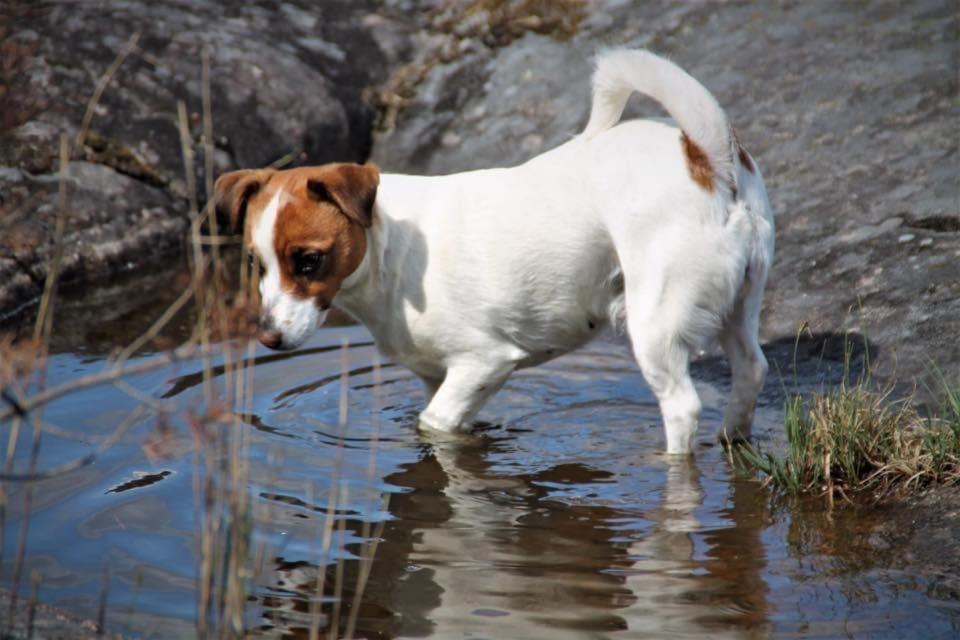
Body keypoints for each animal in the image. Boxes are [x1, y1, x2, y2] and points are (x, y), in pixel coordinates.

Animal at [214, 50, 776, 452]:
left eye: (309, 260)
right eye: (255, 264)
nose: (266, 338)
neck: (392, 250)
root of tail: (708, 158)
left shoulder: (483, 363)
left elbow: (434, 423)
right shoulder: (439, 376)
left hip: (656, 325)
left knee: (682, 406)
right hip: (739, 306)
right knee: (752, 370)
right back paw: (732, 438)